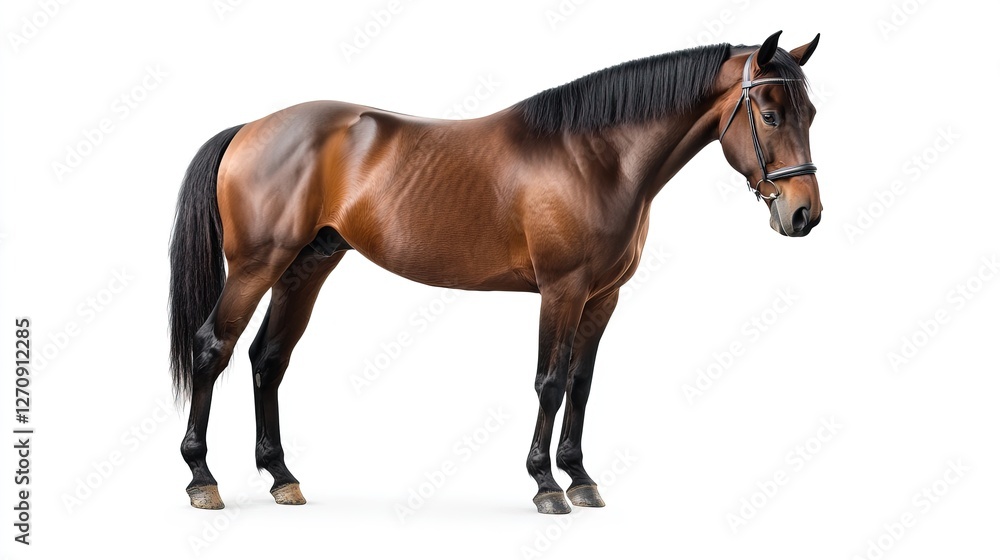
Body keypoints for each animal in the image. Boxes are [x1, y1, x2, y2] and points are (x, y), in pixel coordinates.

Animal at [169, 30, 823, 514]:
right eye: (769, 113)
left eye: (811, 112)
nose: (804, 214)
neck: (596, 157)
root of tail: (250, 128)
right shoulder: (562, 290)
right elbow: (550, 382)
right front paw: (546, 485)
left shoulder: (602, 298)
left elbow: (582, 384)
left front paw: (581, 477)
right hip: (256, 265)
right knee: (213, 348)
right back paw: (202, 478)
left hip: (305, 267)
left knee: (268, 359)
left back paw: (281, 475)